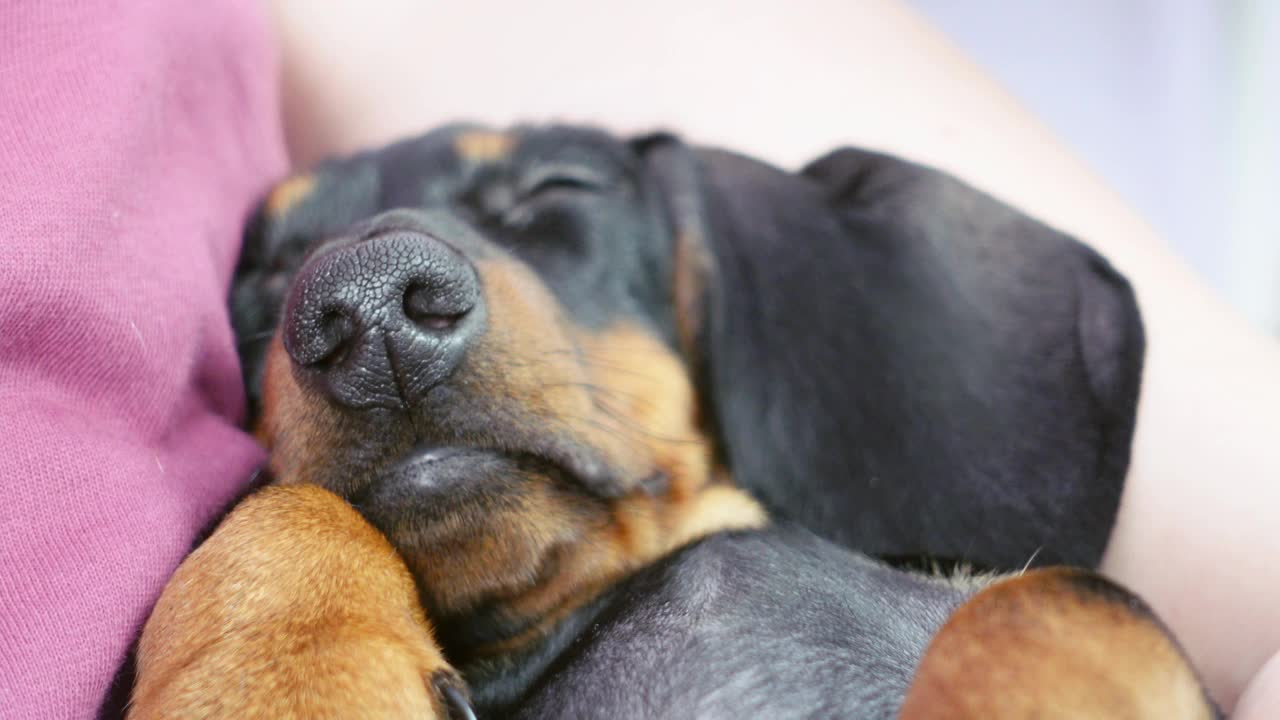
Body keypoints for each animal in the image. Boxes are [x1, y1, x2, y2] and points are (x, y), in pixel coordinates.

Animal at [129, 126, 1218, 712]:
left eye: (556, 186)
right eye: (264, 271)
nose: (364, 309)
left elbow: (1051, 597)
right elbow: (286, 507)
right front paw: (280, 685)